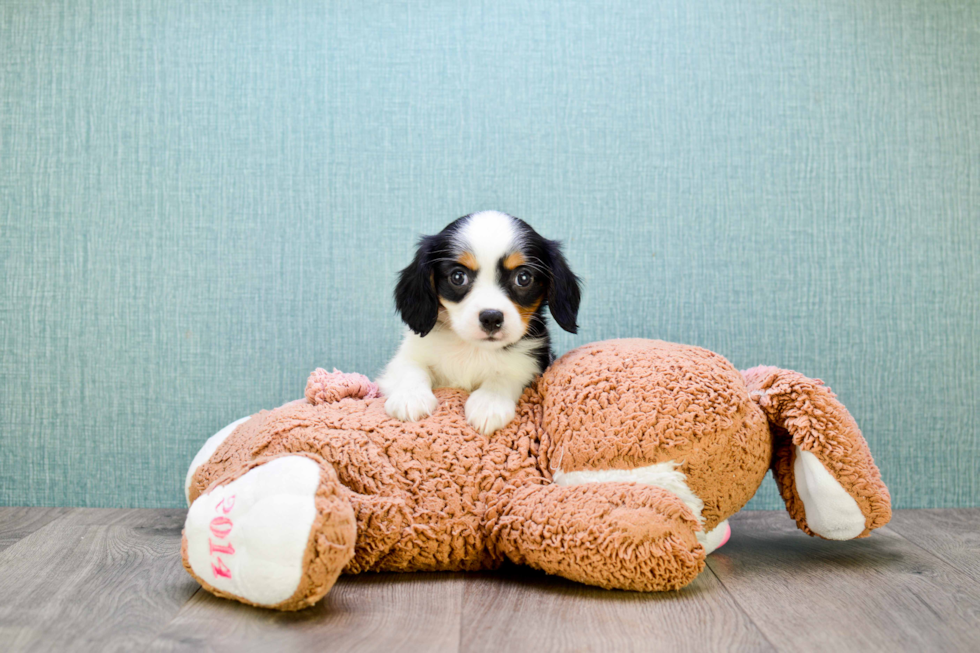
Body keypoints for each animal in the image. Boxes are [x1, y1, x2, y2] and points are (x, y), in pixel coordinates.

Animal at [378, 211, 580, 436]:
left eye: (523, 277)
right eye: (458, 276)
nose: (491, 317)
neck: (473, 349)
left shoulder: (531, 365)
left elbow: (505, 376)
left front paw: (489, 403)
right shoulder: (409, 355)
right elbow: (411, 369)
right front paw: (410, 397)